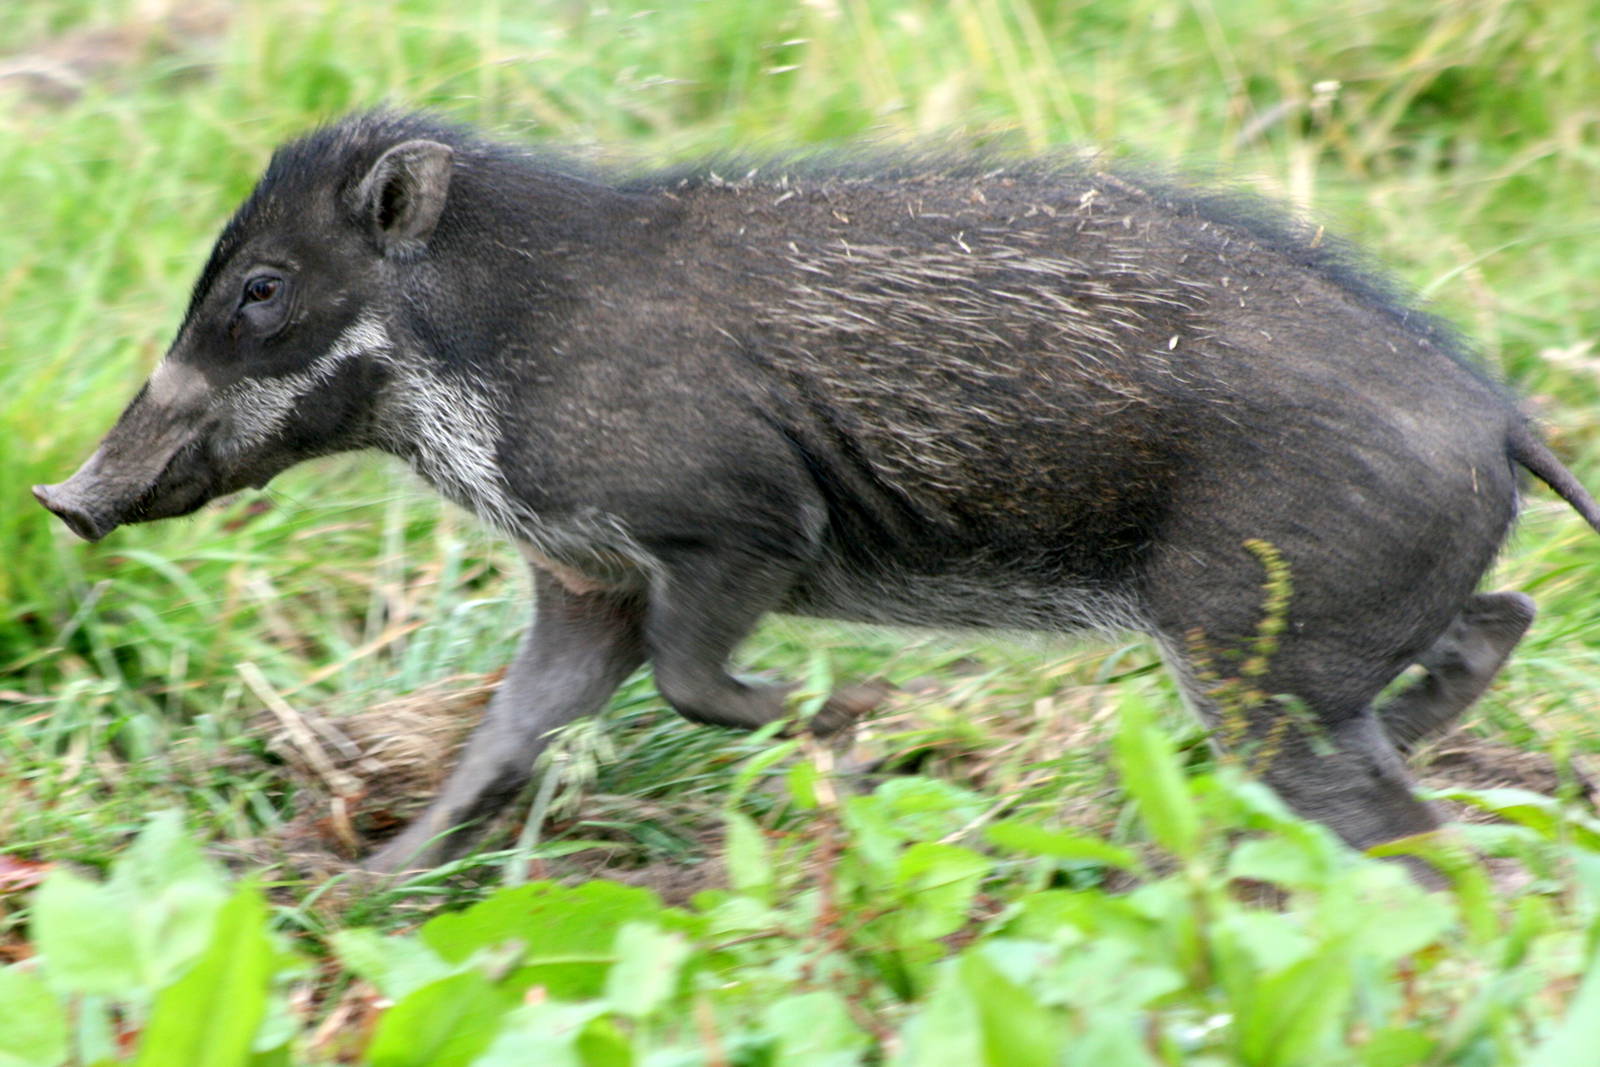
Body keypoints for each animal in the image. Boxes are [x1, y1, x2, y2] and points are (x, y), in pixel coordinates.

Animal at [34, 111, 1600, 875]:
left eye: (260, 289)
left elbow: (692, 687)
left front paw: (861, 732)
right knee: (1494, 627)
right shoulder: (588, 578)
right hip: (1339, 635)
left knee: (1399, 823)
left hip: (1255, 650)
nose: (60, 499)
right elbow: (507, 735)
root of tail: (1503, 418)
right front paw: (350, 884)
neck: (485, 338)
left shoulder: (736, 532)